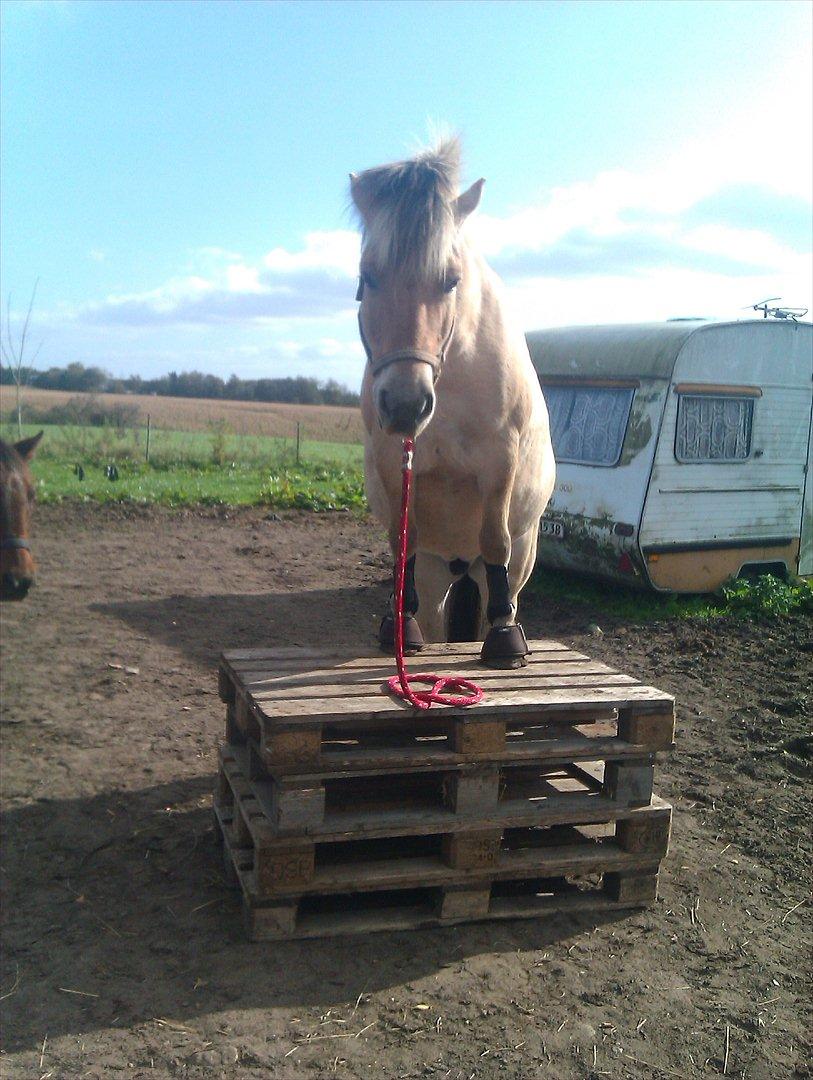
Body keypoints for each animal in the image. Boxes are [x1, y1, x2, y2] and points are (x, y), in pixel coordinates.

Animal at [351, 141, 557, 665]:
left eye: (450, 280)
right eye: (368, 276)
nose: (406, 403)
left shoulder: (499, 461)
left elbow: (496, 539)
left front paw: (504, 639)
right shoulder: (395, 462)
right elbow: (402, 540)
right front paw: (398, 628)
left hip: (521, 556)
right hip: (437, 568)